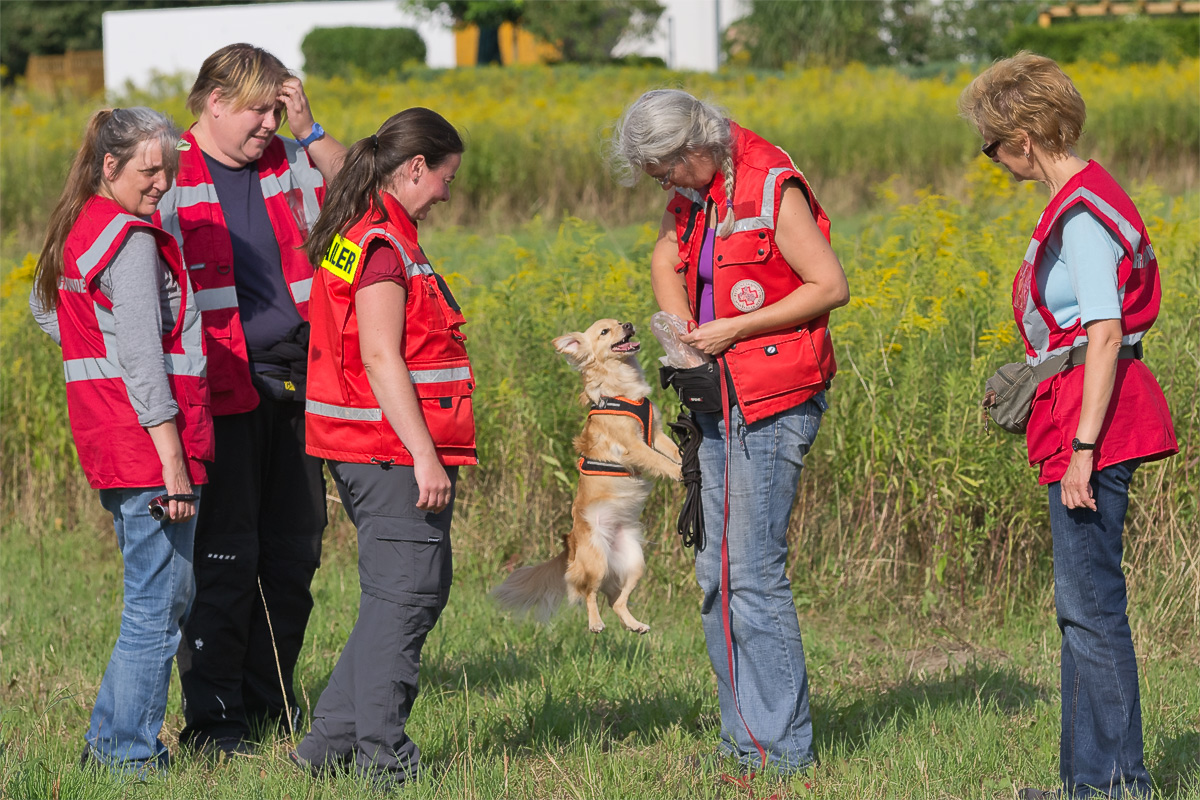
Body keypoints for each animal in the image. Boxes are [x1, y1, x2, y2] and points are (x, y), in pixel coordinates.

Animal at [489, 316, 686, 633]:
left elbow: (672, 451)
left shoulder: (655, 435)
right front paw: (681, 472)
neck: (623, 387)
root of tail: (569, 543)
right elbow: (660, 461)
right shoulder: (634, 447)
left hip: (636, 563)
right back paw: (595, 623)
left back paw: (635, 625)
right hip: (597, 561)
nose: (628, 323)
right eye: (605, 331)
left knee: (617, 601)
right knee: (589, 593)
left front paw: (689, 461)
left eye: (619, 321)